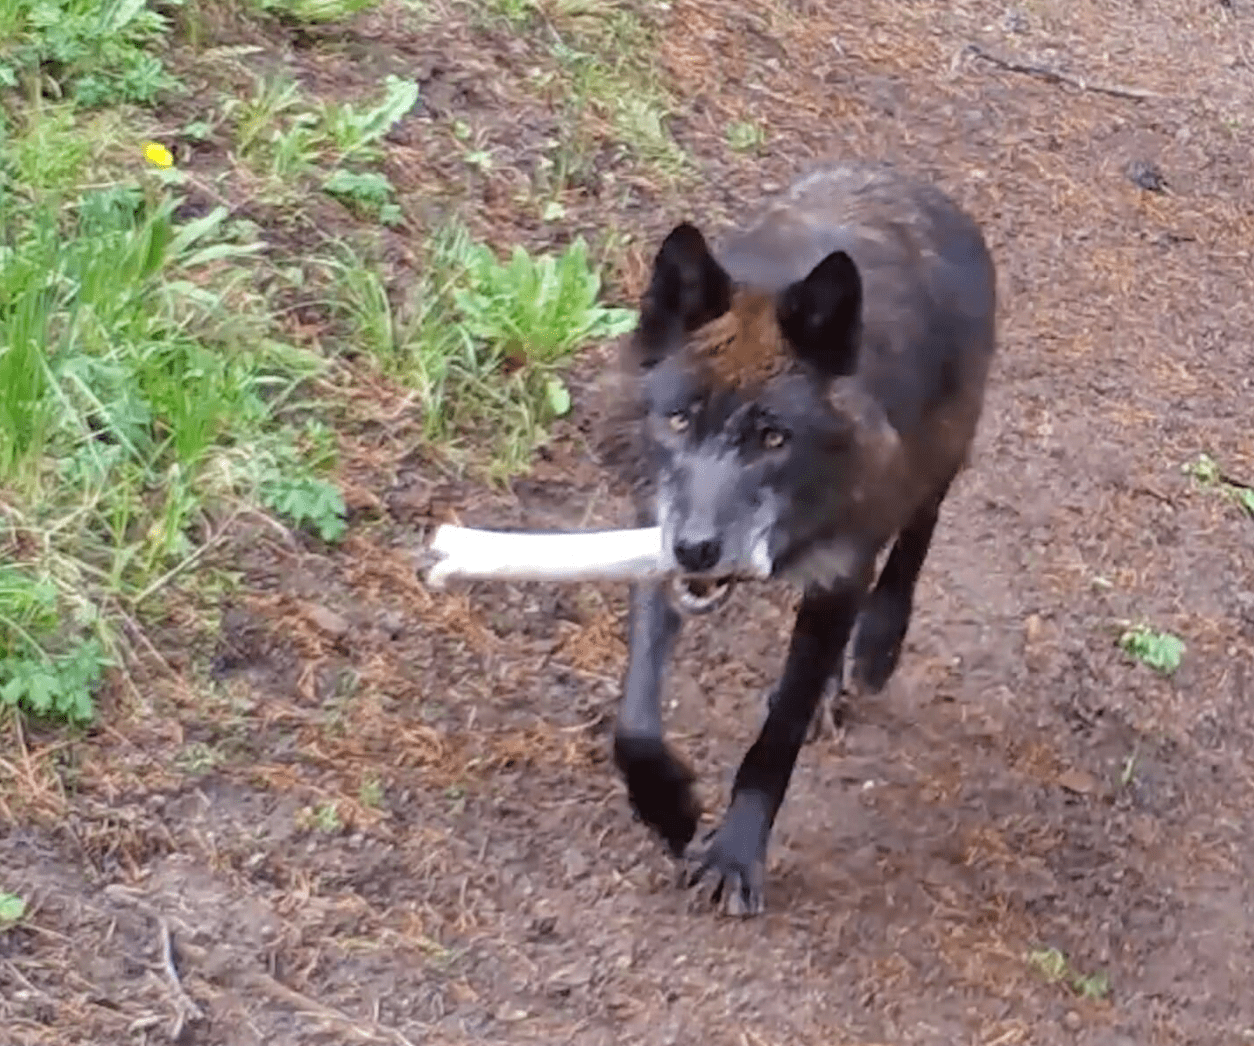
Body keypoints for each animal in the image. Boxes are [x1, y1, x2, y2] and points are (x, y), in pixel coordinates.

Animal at [596, 160, 998, 913]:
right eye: (679, 420)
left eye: (773, 438)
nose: (699, 547)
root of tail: (909, 181)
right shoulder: (658, 539)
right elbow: (634, 720)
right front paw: (669, 807)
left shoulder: (841, 571)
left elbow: (776, 732)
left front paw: (735, 855)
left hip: (939, 462)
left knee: (915, 537)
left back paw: (875, 648)